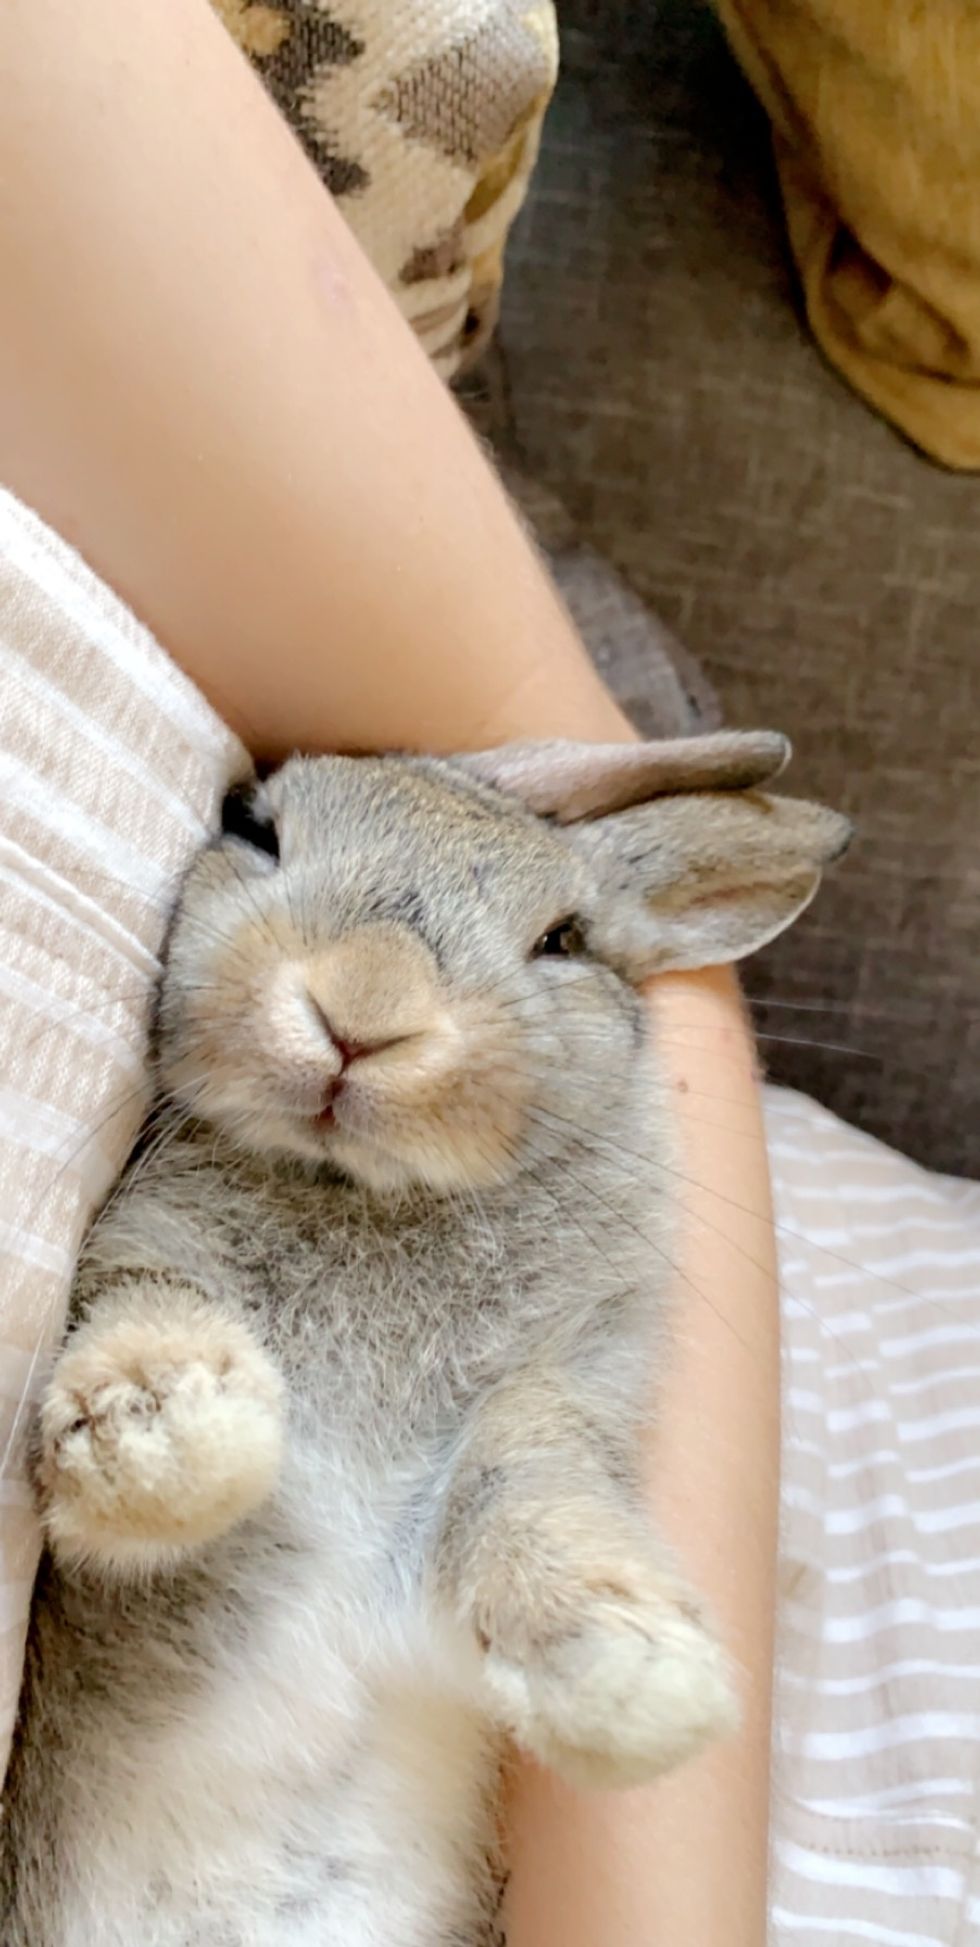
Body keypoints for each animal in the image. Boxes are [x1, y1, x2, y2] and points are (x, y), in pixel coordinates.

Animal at [0, 731, 850, 1947]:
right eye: (252, 829)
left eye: (563, 940)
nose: (364, 1009)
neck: (360, 1192)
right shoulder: (138, 1262)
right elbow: (150, 1327)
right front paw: (163, 1437)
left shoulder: (544, 1402)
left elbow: (525, 1494)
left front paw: (634, 1678)